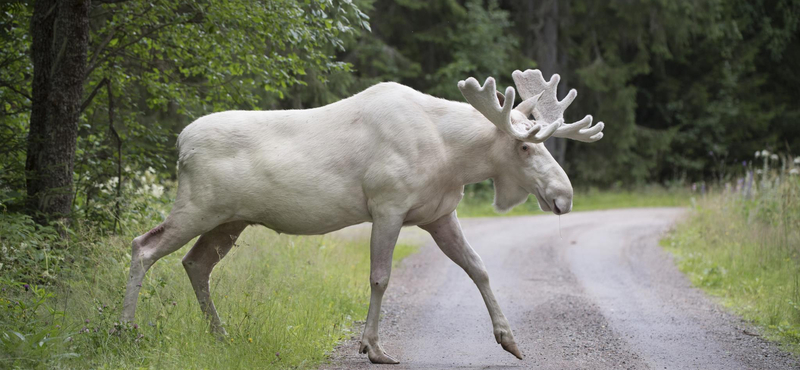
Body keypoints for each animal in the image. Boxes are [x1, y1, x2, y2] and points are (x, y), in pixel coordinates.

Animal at [122, 69, 604, 364]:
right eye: (524, 146)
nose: (564, 196)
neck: (452, 157)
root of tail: (180, 143)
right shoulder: (387, 205)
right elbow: (380, 277)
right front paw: (373, 347)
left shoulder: (438, 214)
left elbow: (479, 268)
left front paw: (510, 339)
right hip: (198, 206)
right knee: (143, 246)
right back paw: (125, 330)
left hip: (229, 220)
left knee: (195, 263)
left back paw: (220, 336)